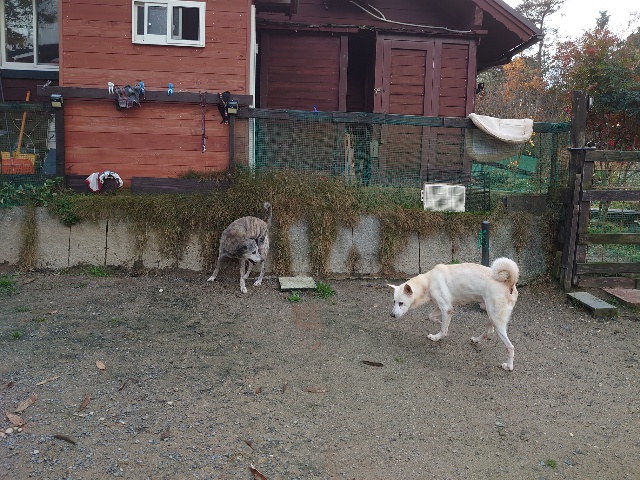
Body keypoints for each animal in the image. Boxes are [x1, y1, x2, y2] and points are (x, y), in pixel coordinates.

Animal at [388, 257, 519, 371]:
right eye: (394, 302)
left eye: (401, 303)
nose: (392, 315)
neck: (428, 282)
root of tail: (509, 283)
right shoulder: (443, 306)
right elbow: (431, 316)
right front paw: (437, 321)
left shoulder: (446, 309)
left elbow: (443, 330)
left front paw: (436, 337)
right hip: (490, 314)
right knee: (488, 331)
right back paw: (476, 340)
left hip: (497, 320)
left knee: (510, 347)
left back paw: (509, 366)